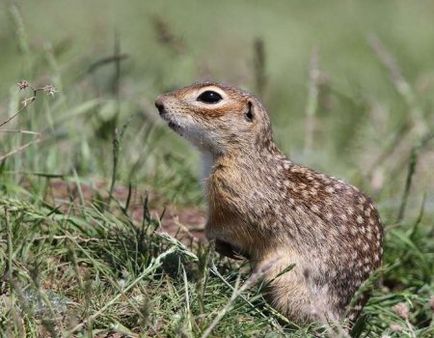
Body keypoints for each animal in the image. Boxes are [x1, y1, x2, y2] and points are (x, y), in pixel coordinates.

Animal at [155, 82, 384, 324]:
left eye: (210, 96)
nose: (159, 102)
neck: (242, 154)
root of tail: (347, 319)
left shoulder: (235, 206)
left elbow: (221, 229)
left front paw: (221, 245)